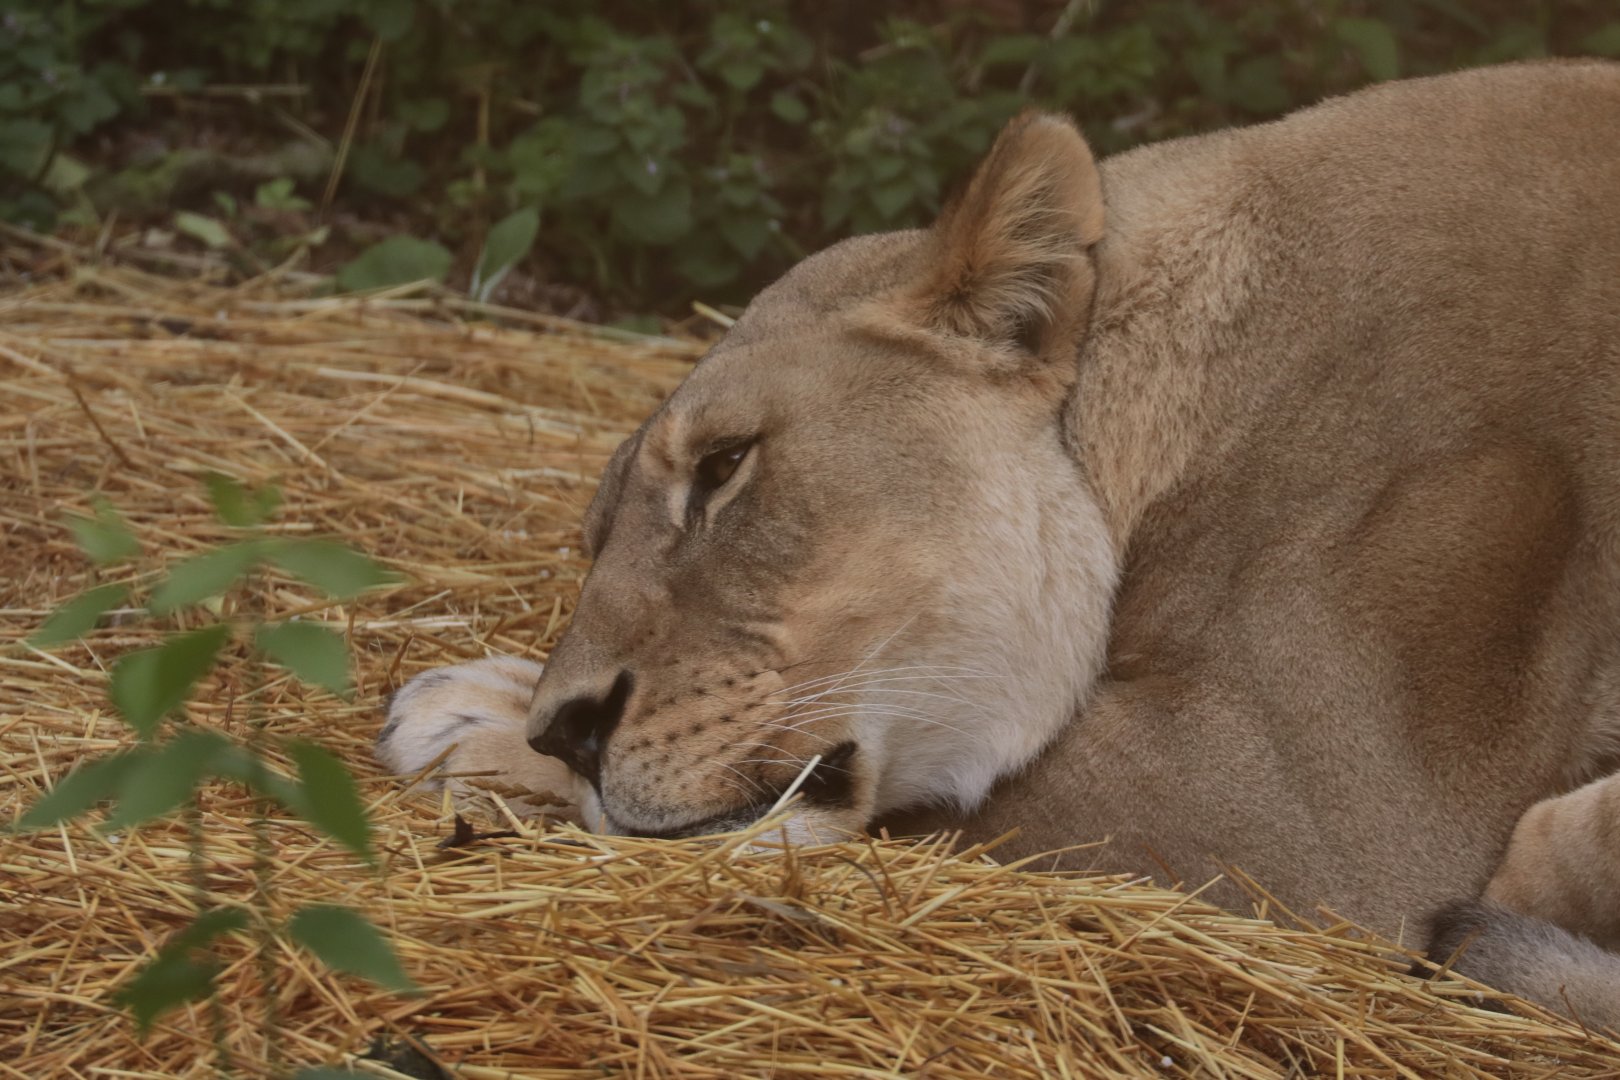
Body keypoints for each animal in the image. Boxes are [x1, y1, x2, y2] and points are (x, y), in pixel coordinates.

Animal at [378, 60, 1620, 1026]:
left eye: (726, 467)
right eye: (596, 537)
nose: (568, 727)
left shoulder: (1308, 817)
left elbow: (918, 815)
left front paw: (476, 725)